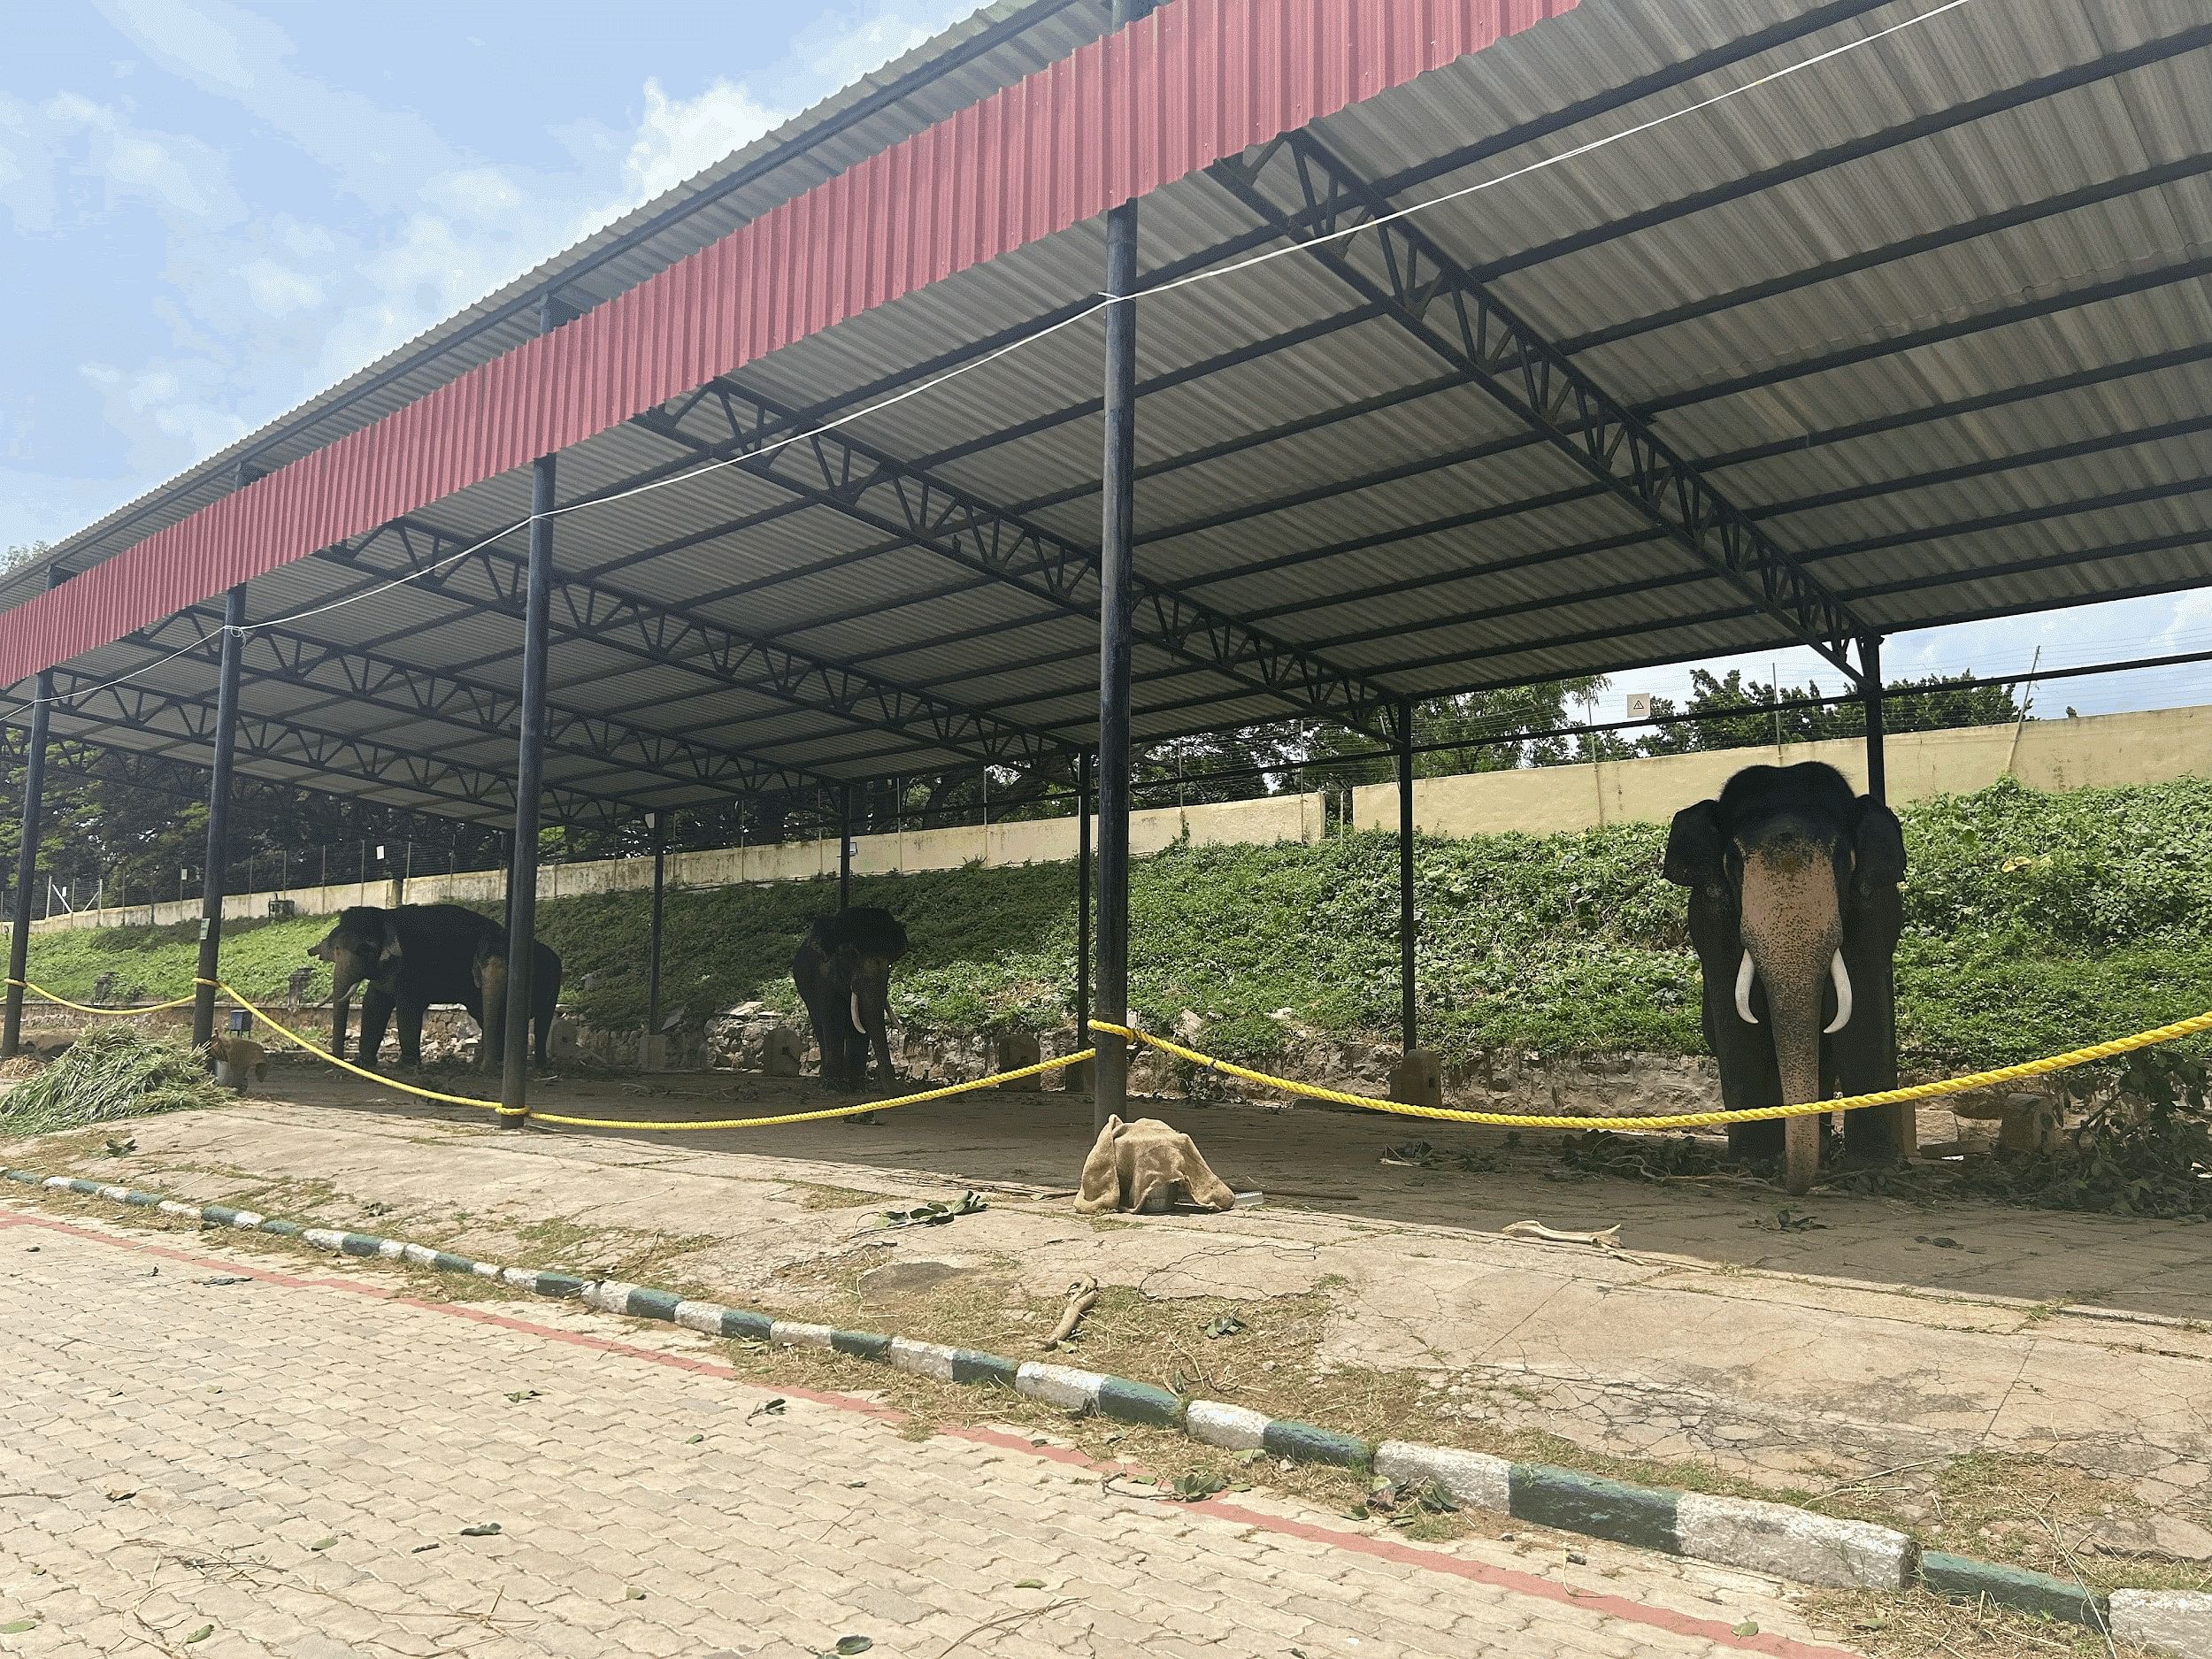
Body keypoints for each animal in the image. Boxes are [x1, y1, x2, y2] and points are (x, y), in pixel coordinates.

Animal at [310, 911, 566, 1079]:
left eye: (364, 950)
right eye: (334, 950)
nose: (340, 1063)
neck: (387, 916)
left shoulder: (412, 965)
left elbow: (407, 1007)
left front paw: (406, 1066)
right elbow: (374, 1002)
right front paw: (363, 1063)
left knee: (539, 1020)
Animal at [787, 911, 907, 1093]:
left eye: (890, 965)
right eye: (851, 956)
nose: (898, 1090)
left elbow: (861, 1025)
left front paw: (857, 1087)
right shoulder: (824, 980)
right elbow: (833, 1020)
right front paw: (833, 1087)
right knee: (820, 1027)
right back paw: (825, 1079)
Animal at [1663, 765, 1911, 1194]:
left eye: (1841, 857)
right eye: (1734, 860)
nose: (1792, 1186)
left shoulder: (1874, 910)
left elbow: (1864, 1016)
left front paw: (1874, 1170)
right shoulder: (1711, 916)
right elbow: (1738, 1026)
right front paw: (1755, 1162)